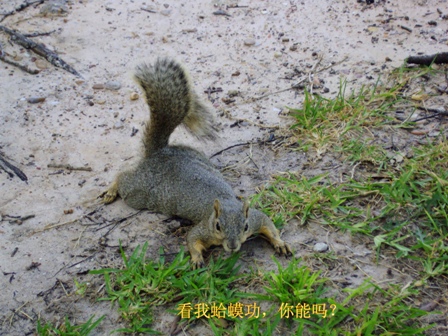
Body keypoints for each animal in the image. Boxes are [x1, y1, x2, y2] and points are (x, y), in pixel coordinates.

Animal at [100, 57, 292, 268]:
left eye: (245, 226)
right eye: (218, 226)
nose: (232, 246)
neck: (223, 205)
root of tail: (158, 152)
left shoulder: (256, 218)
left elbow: (268, 224)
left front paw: (280, 242)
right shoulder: (203, 229)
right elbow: (192, 239)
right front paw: (197, 259)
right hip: (139, 192)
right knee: (123, 177)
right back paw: (111, 190)